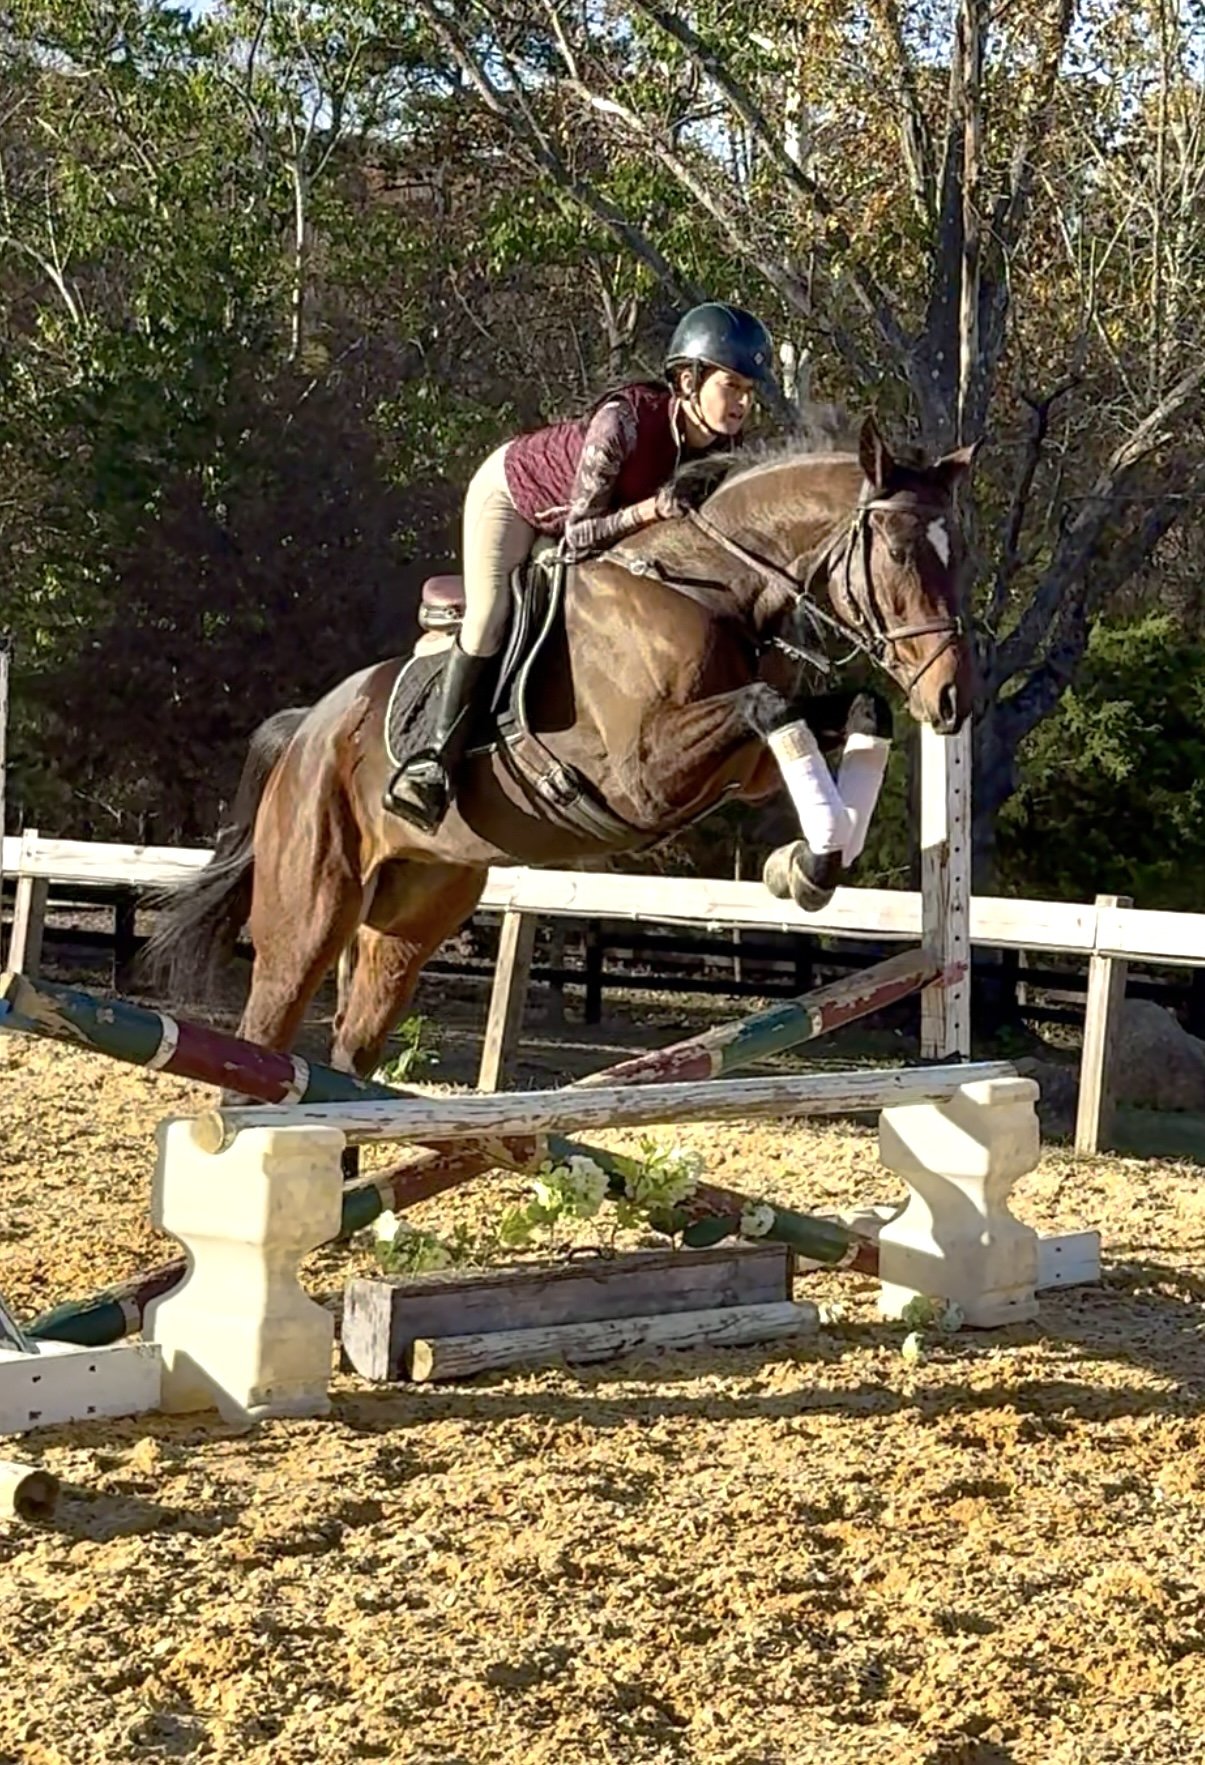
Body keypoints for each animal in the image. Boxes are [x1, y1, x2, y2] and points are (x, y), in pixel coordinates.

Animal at [146, 416, 976, 1081]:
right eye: (899, 551)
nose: (950, 700)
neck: (707, 588)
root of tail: (308, 729)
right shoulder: (646, 774)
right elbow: (767, 704)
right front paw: (803, 867)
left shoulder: (745, 772)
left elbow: (853, 711)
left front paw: (804, 866)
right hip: (310, 913)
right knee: (264, 1034)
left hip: (409, 918)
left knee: (351, 1047)